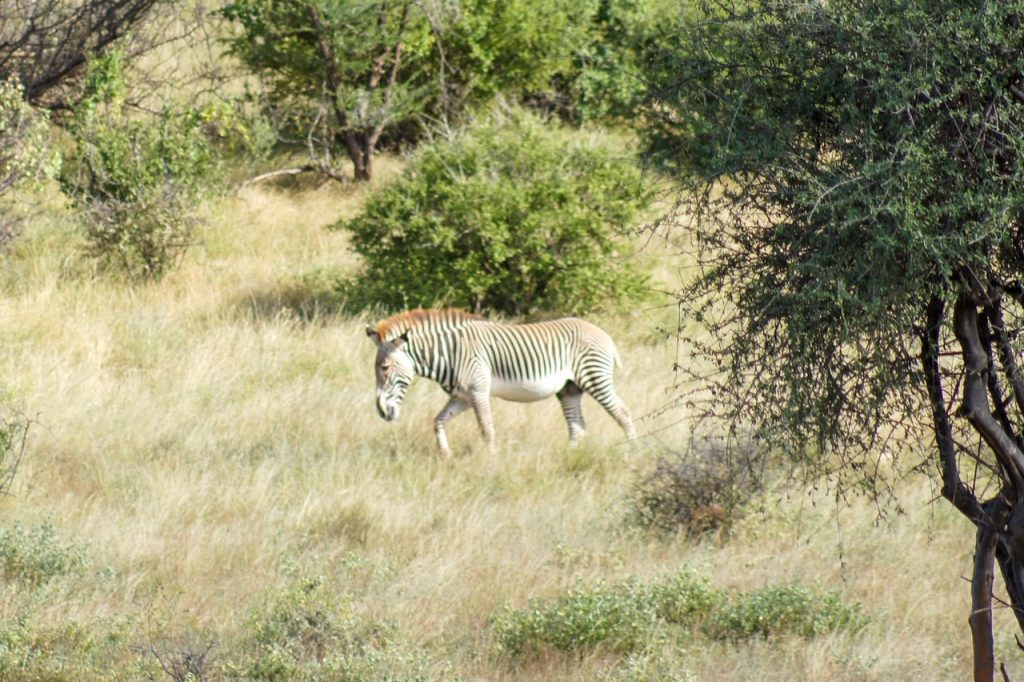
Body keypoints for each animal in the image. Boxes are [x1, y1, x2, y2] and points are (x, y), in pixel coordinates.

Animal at [366, 308, 637, 455]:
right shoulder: (462, 397)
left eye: (384, 368)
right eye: (377, 369)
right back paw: (569, 457)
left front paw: (491, 461)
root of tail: (604, 334)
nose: (381, 412)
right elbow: (438, 421)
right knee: (577, 427)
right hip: (569, 389)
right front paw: (446, 454)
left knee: (623, 413)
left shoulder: (478, 390)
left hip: (595, 378)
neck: (449, 353)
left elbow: (486, 428)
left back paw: (633, 453)